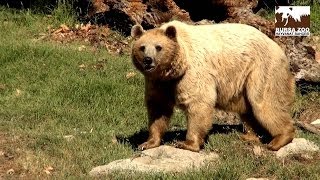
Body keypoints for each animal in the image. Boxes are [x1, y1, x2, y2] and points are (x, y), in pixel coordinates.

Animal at [129, 19, 296, 152]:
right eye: (142, 47)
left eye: (158, 47)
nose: (148, 60)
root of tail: (276, 46)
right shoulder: (158, 83)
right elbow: (158, 108)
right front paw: (147, 142)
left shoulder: (192, 73)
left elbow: (198, 103)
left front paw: (186, 143)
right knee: (248, 110)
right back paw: (249, 136)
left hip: (262, 69)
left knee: (265, 103)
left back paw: (278, 140)